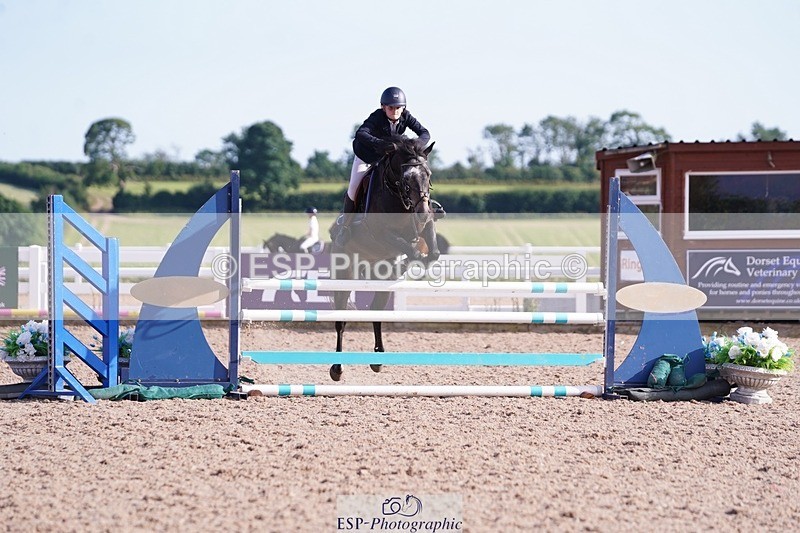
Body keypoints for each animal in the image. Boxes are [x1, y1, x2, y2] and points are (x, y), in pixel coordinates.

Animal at [328, 136, 440, 381]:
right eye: (406, 179)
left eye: (428, 174)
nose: (422, 211)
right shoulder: (380, 232)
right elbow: (408, 246)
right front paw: (414, 258)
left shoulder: (425, 225)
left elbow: (432, 249)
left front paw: (417, 261)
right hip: (344, 275)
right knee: (341, 320)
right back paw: (337, 368)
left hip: (381, 278)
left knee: (375, 311)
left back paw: (378, 359)